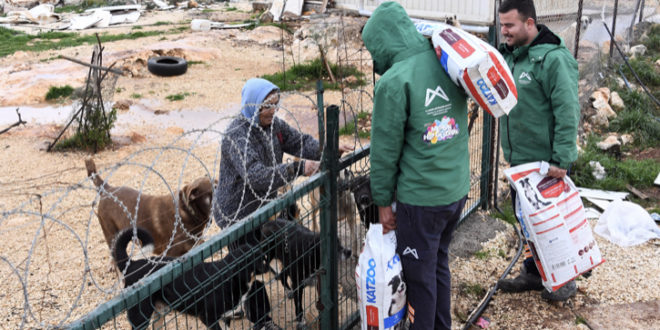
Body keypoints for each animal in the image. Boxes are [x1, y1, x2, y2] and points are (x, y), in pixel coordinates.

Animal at [114, 227, 274, 330]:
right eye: (262, 259)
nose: (268, 266)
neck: (229, 277)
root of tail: (132, 264)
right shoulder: (208, 318)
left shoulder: (225, 317)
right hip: (140, 317)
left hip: (160, 311)